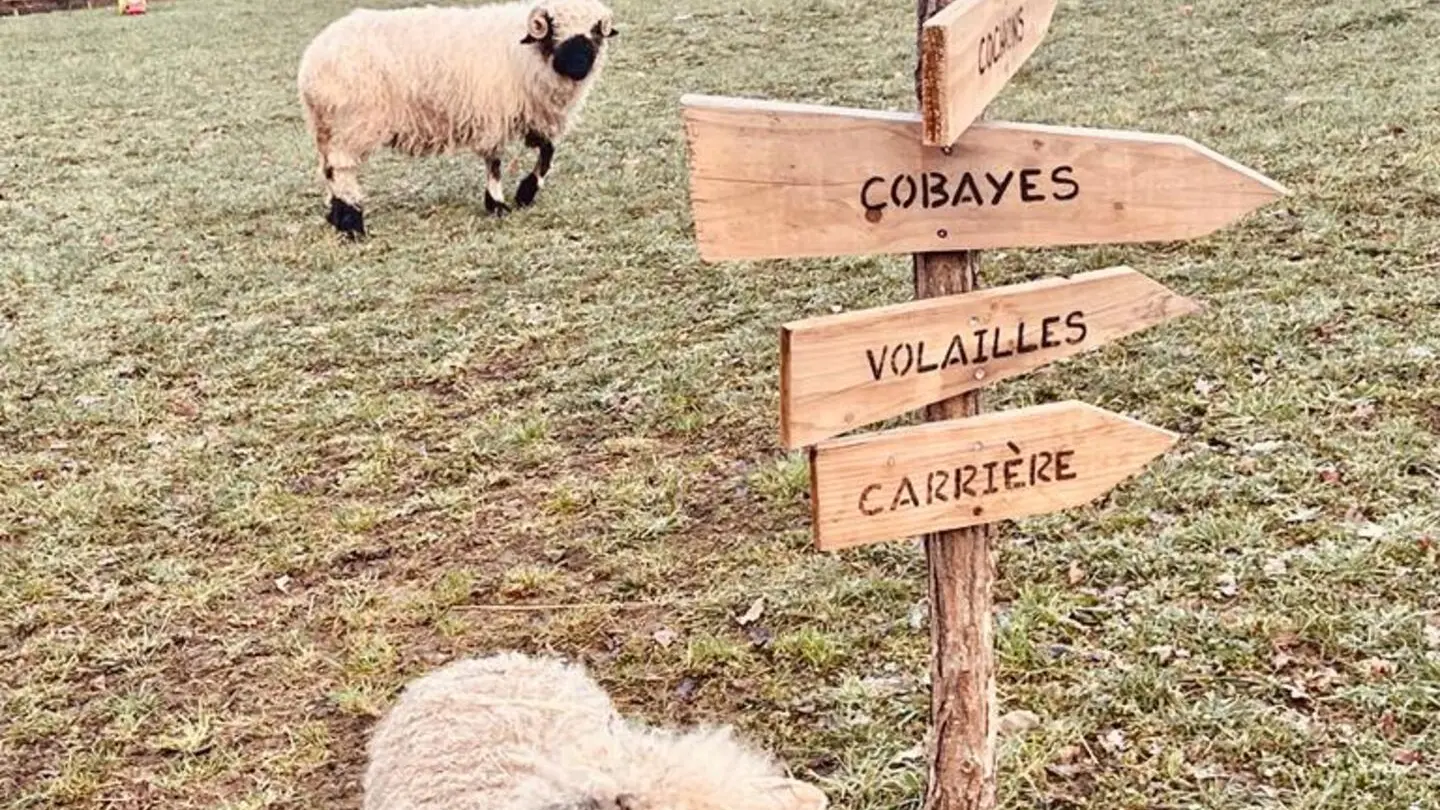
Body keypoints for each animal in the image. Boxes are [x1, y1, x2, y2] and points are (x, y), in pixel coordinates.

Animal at [296, 0, 617, 238]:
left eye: (595, 31)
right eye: (553, 27)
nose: (578, 65)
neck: (528, 53)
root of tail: (311, 61)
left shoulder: (534, 115)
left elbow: (547, 153)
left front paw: (525, 193)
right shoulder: (494, 113)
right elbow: (495, 162)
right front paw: (497, 204)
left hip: (327, 126)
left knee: (328, 169)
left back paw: (336, 216)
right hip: (352, 122)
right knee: (342, 169)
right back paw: (353, 224)